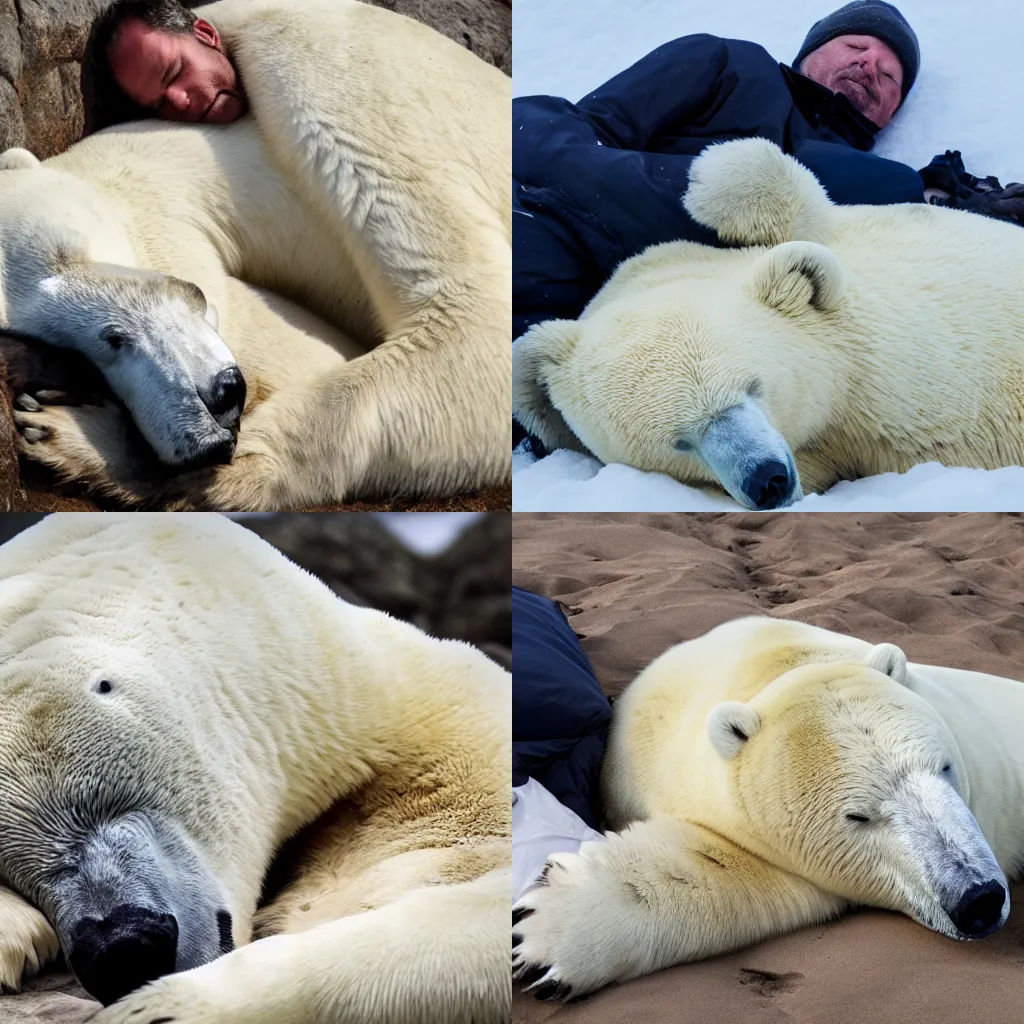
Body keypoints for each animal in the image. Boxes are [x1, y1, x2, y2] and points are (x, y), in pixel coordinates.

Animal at [1, 0, 512, 512]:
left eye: (70, 250)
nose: (218, 394)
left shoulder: (324, 80)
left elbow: (470, 319)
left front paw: (97, 438)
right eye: (72, 347)